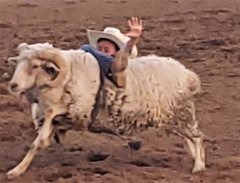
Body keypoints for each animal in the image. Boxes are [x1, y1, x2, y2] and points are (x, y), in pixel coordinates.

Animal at [7, 42, 206, 179]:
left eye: (34, 66)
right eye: (18, 63)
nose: (13, 85)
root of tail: (188, 75)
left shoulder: (77, 109)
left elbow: (43, 133)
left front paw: (16, 170)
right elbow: (39, 141)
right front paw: (17, 170)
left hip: (182, 114)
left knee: (197, 138)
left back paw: (198, 166)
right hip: (173, 117)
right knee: (188, 139)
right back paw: (197, 159)